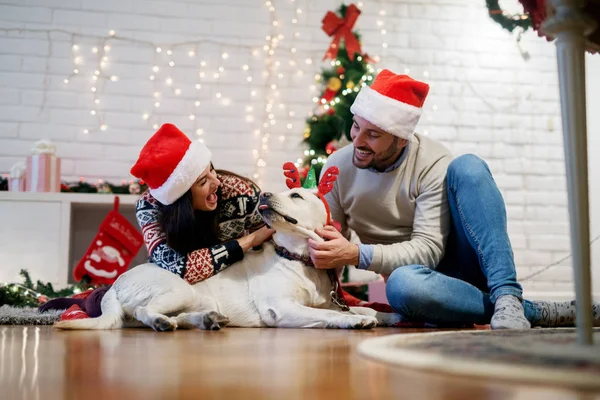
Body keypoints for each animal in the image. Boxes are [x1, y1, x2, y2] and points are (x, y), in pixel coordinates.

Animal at [55, 164, 404, 330]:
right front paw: (354, 321)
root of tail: (114, 285)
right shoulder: (282, 308)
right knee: (143, 312)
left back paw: (206, 320)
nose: (264, 196)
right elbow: (332, 315)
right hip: (179, 289)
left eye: (295, 195)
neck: (298, 258)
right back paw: (162, 323)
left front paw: (388, 315)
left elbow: (361, 306)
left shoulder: (329, 300)